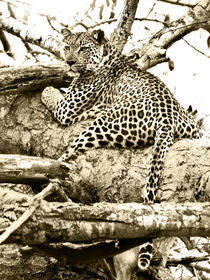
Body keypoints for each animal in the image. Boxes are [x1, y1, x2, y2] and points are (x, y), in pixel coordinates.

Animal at [40, 27, 200, 278]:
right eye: (67, 46)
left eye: (82, 48)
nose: (69, 61)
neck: (107, 53)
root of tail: (167, 118)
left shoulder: (67, 109)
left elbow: (50, 94)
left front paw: (47, 87)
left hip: (99, 126)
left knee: (68, 156)